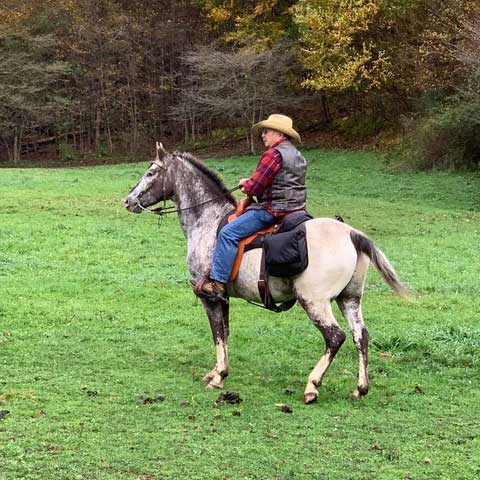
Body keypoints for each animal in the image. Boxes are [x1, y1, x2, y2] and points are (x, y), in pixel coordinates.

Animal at [124, 143, 404, 404]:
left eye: (151, 172)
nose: (128, 200)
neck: (208, 221)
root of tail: (351, 234)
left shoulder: (210, 297)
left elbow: (217, 334)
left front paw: (218, 377)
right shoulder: (224, 298)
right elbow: (225, 333)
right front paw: (216, 371)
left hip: (315, 302)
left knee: (335, 338)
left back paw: (312, 386)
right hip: (350, 299)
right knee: (361, 336)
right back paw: (360, 389)